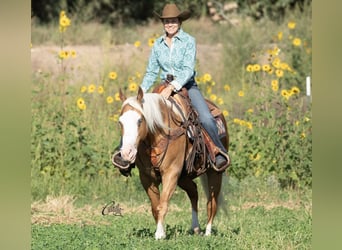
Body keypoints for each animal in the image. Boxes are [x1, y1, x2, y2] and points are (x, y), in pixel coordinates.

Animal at [113, 87, 230, 239]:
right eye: (120, 122)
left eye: (140, 120)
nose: (127, 153)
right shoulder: (147, 177)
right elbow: (155, 207)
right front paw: (161, 231)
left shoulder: (171, 173)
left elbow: (162, 204)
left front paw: (159, 234)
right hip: (183, 177)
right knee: (193, 192)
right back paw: (196, 228)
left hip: (214, 173)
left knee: (212, 203)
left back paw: (208, 232)